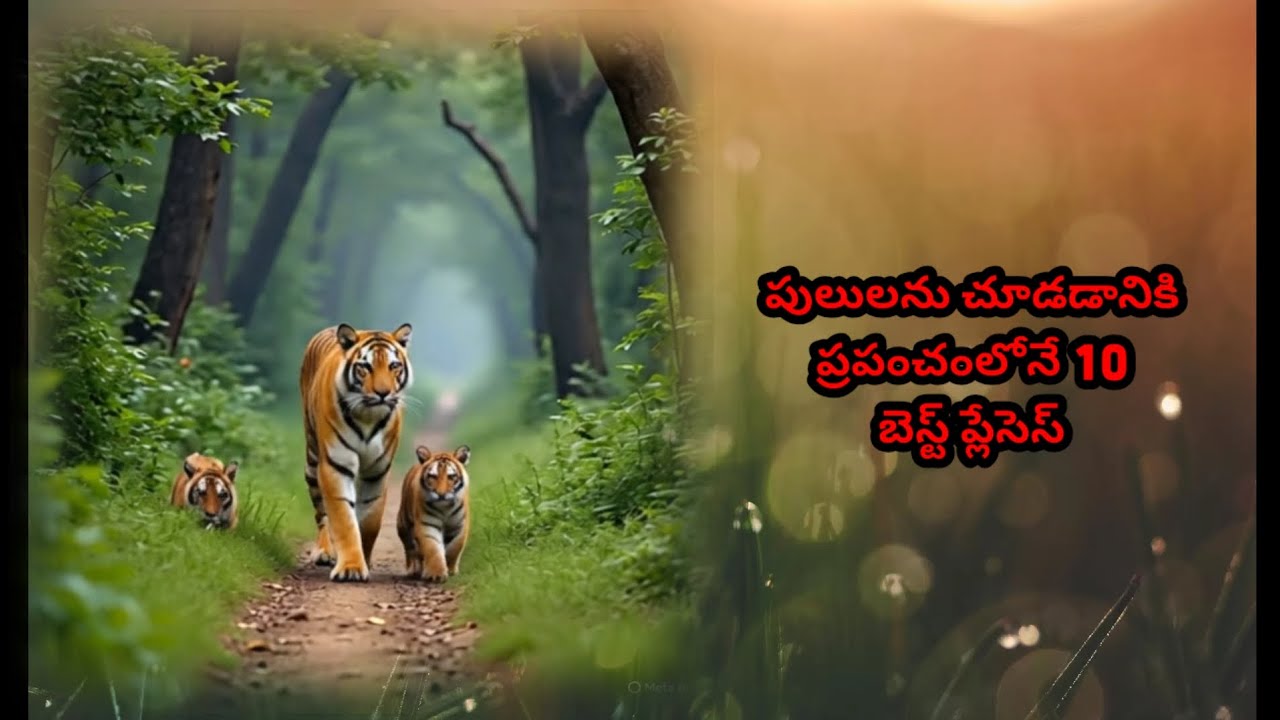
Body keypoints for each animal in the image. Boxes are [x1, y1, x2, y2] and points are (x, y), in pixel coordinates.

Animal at [299, 322, 413, 582]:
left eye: (393, 366)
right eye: (365, 367)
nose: (383, 393)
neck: (368, 417)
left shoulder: (377, 471)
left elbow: (370, 520)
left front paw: (366, 560)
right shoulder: (336, 465)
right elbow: (343, 519)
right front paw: (351, 567)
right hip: (312, 459)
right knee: (321, 513)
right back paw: (324, 552)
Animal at [396, 444, 472, 583]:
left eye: (451, 476)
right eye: (432, 476)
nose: (441, 494)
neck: (445, 508)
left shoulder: (459, 526)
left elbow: (454, 548)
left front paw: (450, 569)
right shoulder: (427, 525)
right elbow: (433, 548)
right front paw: (436, 574)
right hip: (403, 525)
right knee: (410, 549)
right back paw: (414, 569)